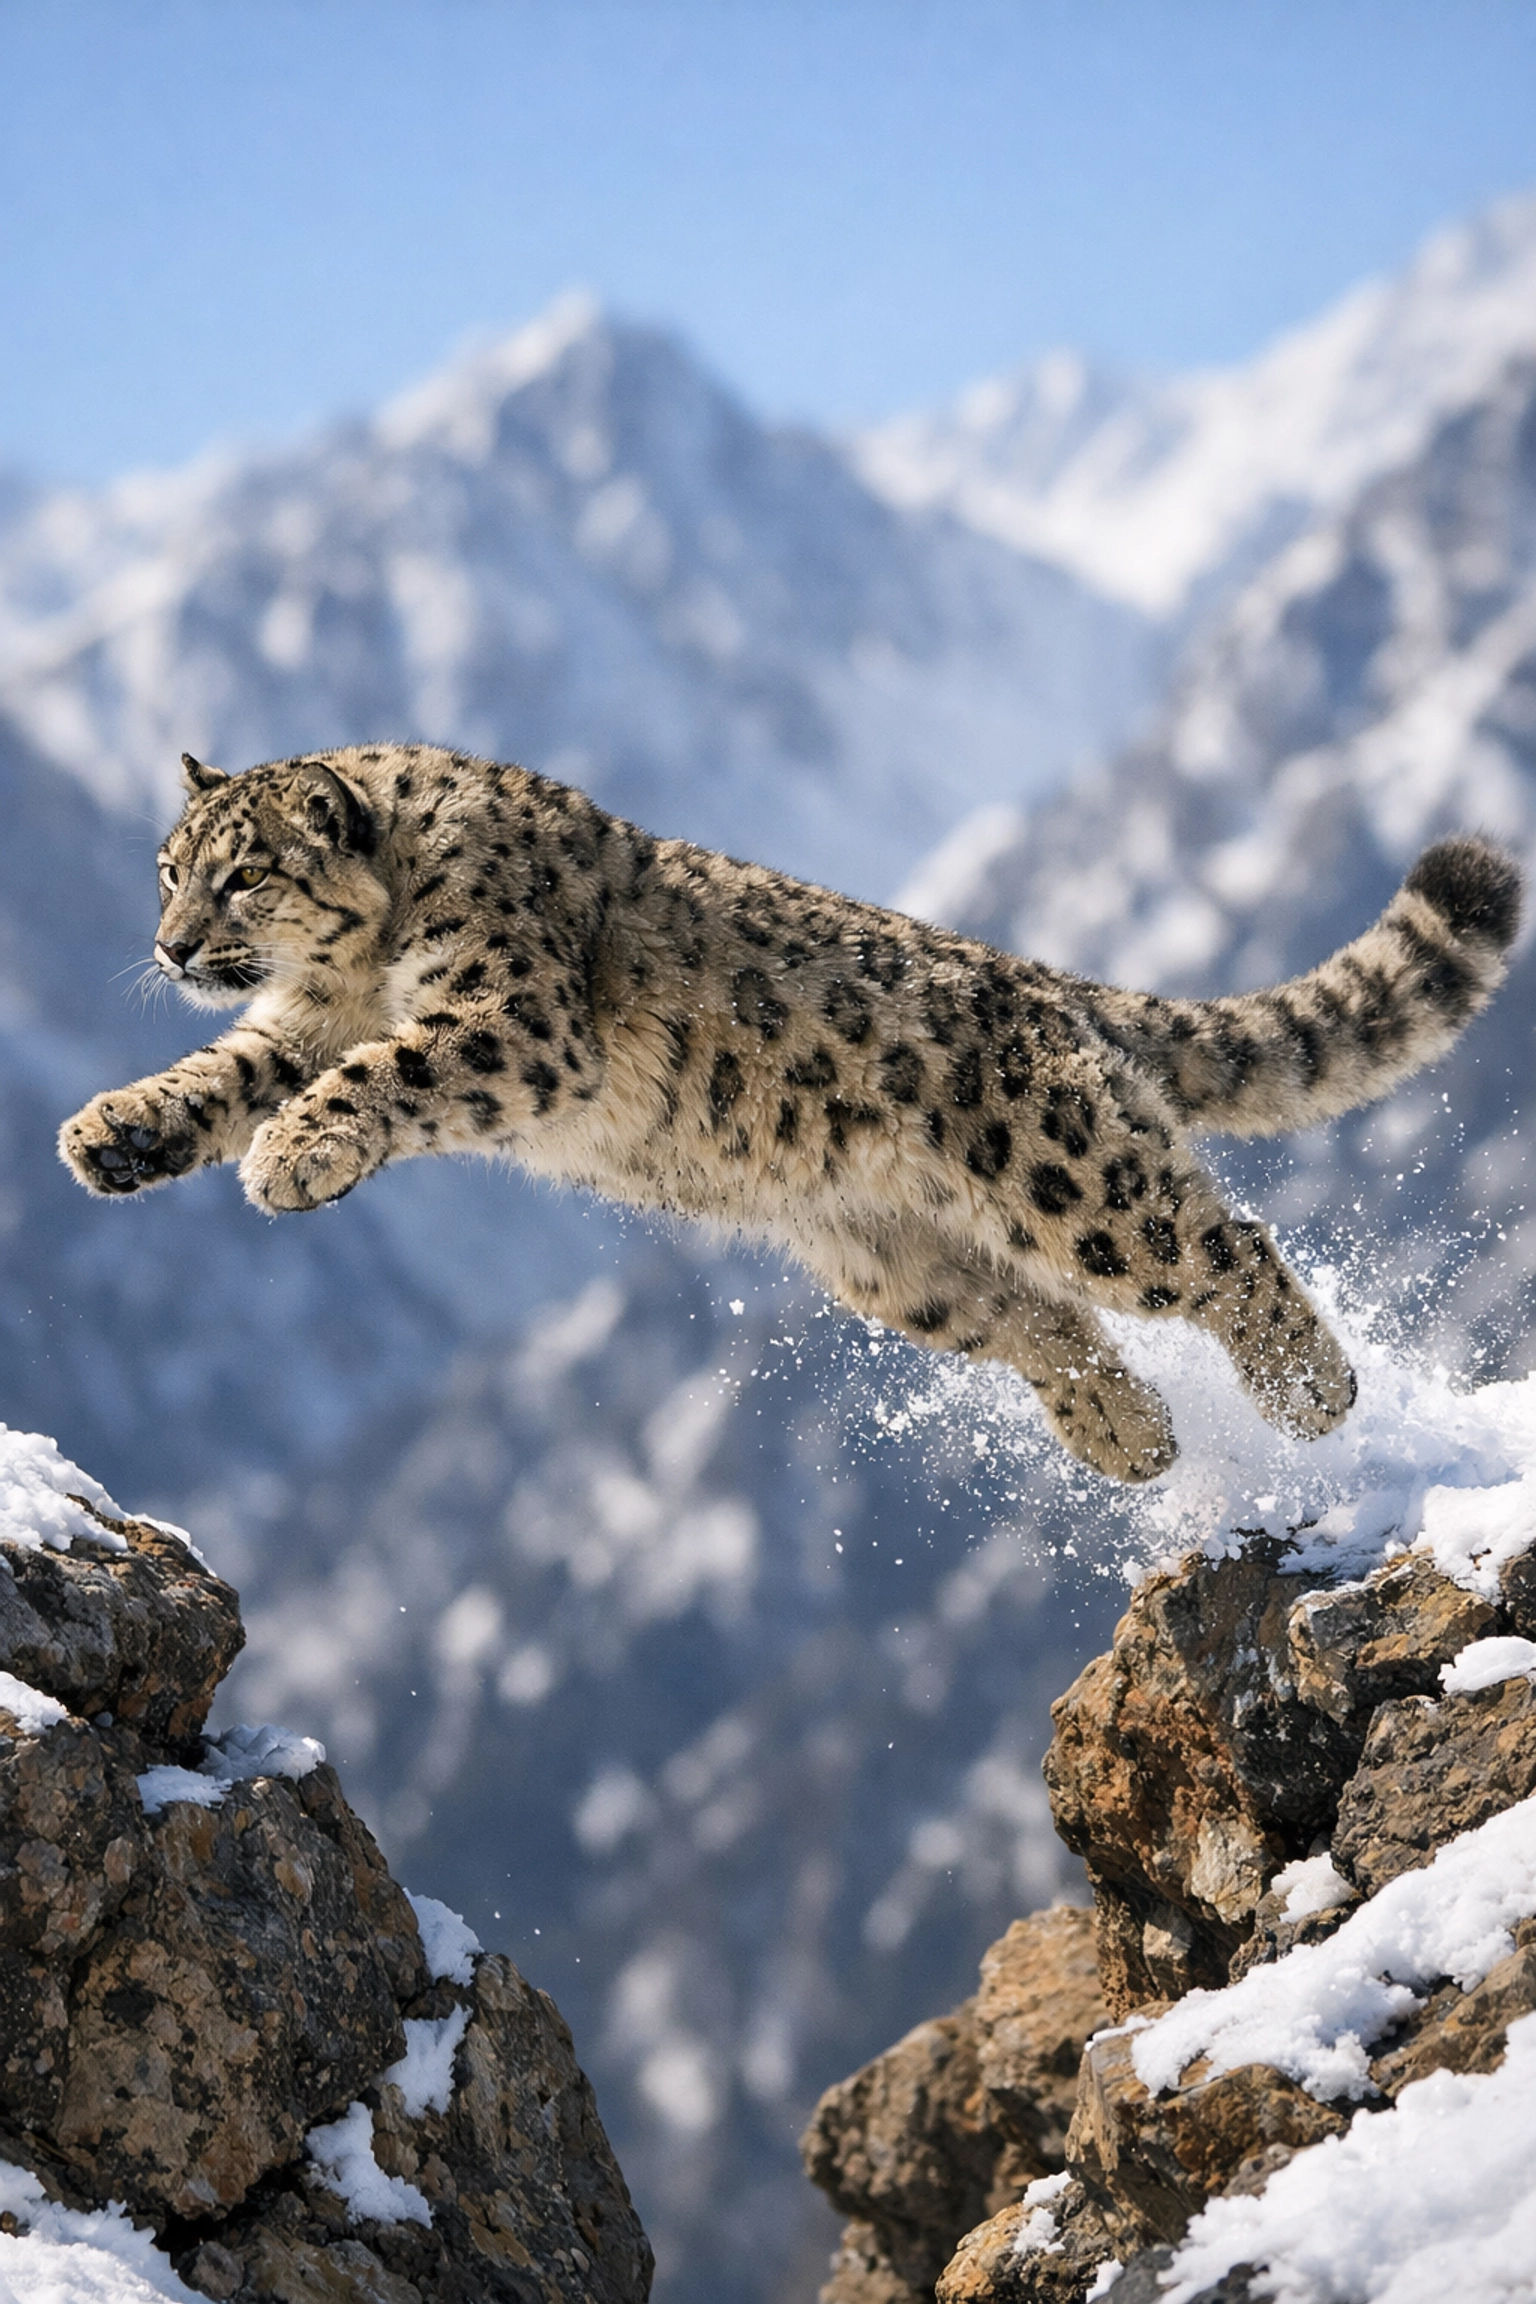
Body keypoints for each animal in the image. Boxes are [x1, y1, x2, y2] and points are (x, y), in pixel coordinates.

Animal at [59, 744, 1522, 1484]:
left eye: (243, 876)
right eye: (167, 871)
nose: (171, 947)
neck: (359, 972)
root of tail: (1043, 978)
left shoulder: (513, 1023)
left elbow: (386, 1074)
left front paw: (293, 1153)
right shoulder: (296, 1021)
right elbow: (223, 1074)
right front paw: (113, 1133)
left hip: (1066, 1174)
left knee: (1215, 1248)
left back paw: (1311, 1394)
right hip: (896, 1266)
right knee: (1044, 1324)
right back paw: (1134, 1441)